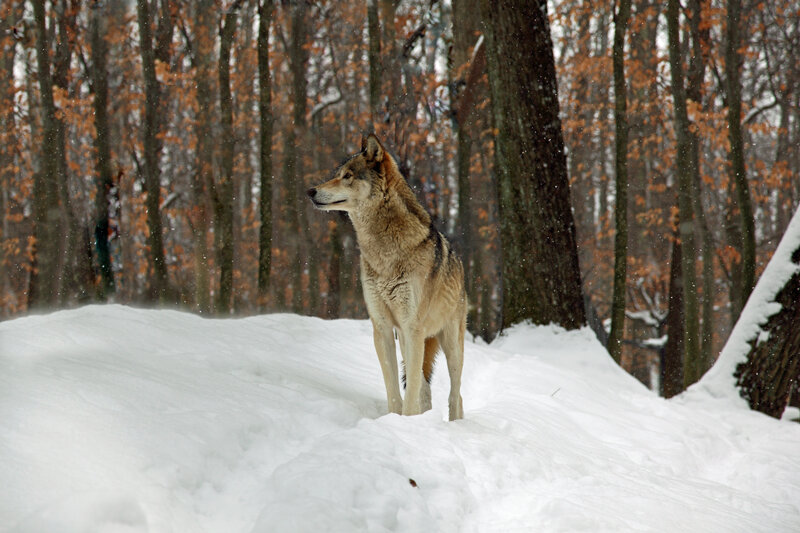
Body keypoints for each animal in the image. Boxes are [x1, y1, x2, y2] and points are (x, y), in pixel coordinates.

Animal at [307, 134, 466, 421]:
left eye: (347, 176)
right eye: (336, 175)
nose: (310, 191)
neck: (383, 252)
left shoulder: (412, 328)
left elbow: (410, 393)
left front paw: (405, 422)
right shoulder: (382, 328)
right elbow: (394, 389)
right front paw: (394, 420)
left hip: (450, 346)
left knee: (455, 394)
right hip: (406, 341)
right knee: (426, 390)